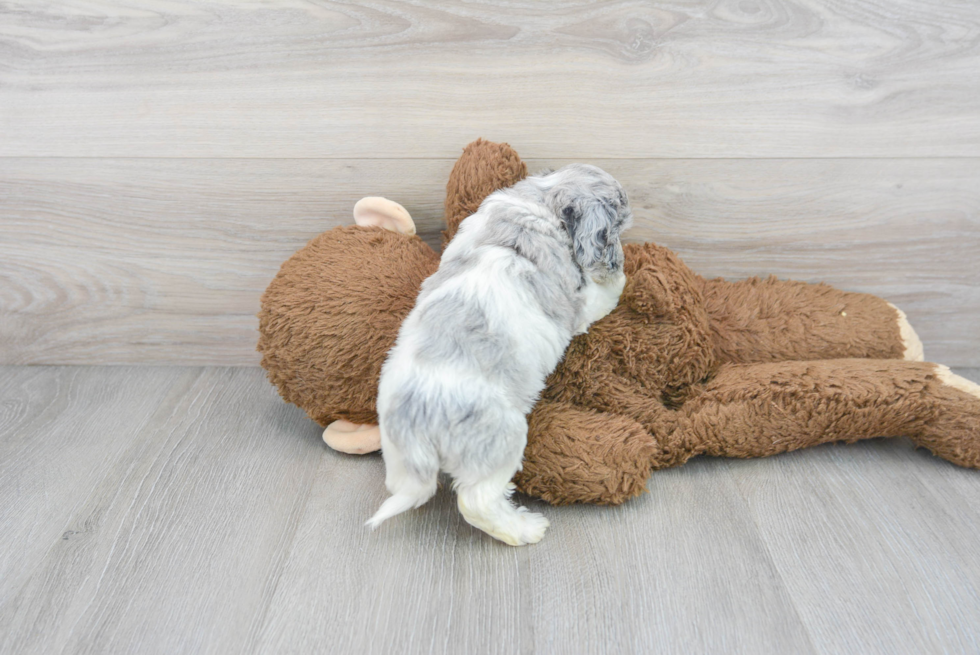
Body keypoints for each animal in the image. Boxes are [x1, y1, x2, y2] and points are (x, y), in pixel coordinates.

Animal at [368, 165, 636, 548]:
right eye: (619, 224)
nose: (618, 254)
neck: (542, 201)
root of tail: (419, 419)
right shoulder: (582, 307)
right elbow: (609, 291)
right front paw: (622, 274)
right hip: (501, 441)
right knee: (476, 500)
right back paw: (524, 528)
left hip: (395, 452)